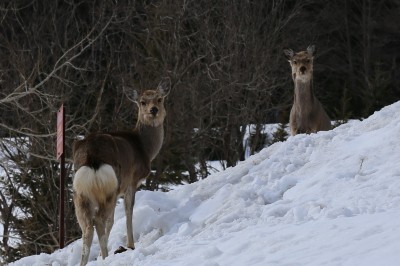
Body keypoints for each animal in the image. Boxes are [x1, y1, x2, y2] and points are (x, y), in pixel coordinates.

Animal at [72, 80, 170, 264]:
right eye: (142, 102)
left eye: (159, 99)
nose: (154, 110)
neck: (145, 149)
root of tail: (90, 157)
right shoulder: (131, 181)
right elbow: (127, 211)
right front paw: (130, 245)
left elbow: (112, 221)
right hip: (110, 186)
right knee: (99, 220)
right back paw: (105, 257)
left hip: (80, 192)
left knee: (87, 227)